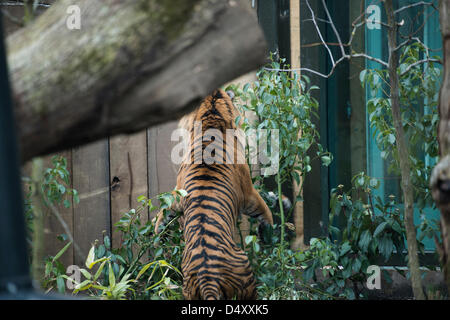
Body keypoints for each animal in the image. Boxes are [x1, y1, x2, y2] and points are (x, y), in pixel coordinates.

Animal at [155, 88, 274, 300]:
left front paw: (158, 234)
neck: (211, 121)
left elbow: (165, 210)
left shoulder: (178, 194)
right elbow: (264, 209)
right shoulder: (248, 192)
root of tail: (207, 277)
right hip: (245, 274)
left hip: (189, 288)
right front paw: (269, 228)